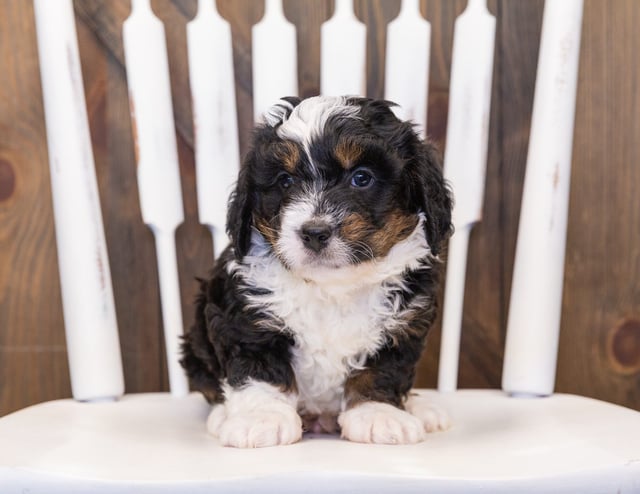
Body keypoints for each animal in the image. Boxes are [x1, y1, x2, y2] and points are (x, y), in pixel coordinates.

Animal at [179, 95, 450, 448]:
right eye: (285, 181)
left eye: (361, 178)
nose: (314, 232)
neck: (332, 286)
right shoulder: (245, 317)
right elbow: (260, 370)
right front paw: (262, 418)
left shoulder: (406, 322)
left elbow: (383, 370)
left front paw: (377, 413)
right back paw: (223, 414)